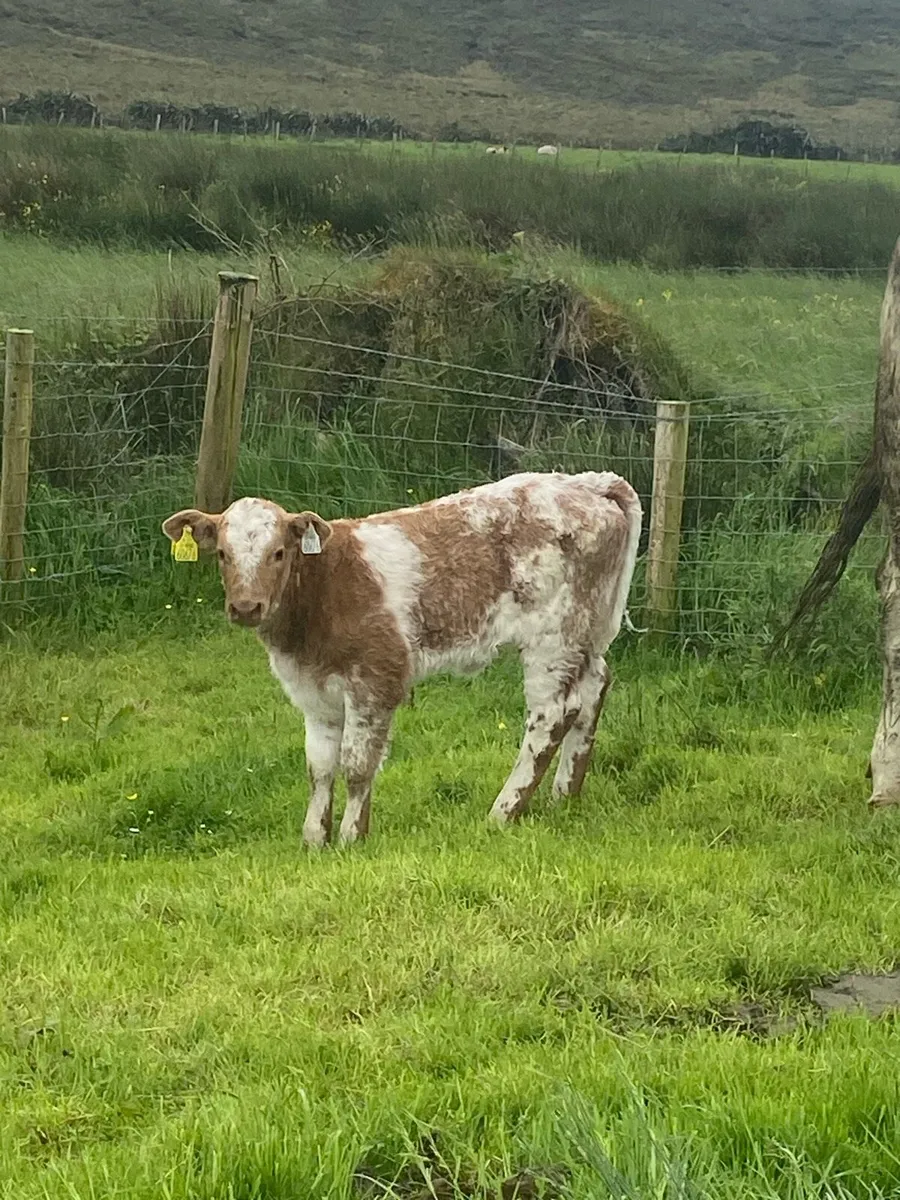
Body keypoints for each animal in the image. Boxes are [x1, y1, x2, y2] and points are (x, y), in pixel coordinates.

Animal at [162, 471, 641, 847]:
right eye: (222, 554)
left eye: (278, 553)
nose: (246, 608)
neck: (323, 590)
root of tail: (589, 483)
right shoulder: (312, 692)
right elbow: (319, 767)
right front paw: (314, 840)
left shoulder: (376, 679)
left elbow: (357, 764)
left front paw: (352, 838)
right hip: (586, 633)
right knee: (594, 688)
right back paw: (564, 796)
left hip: (553, 637)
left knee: (552, 715)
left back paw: (501, 813)